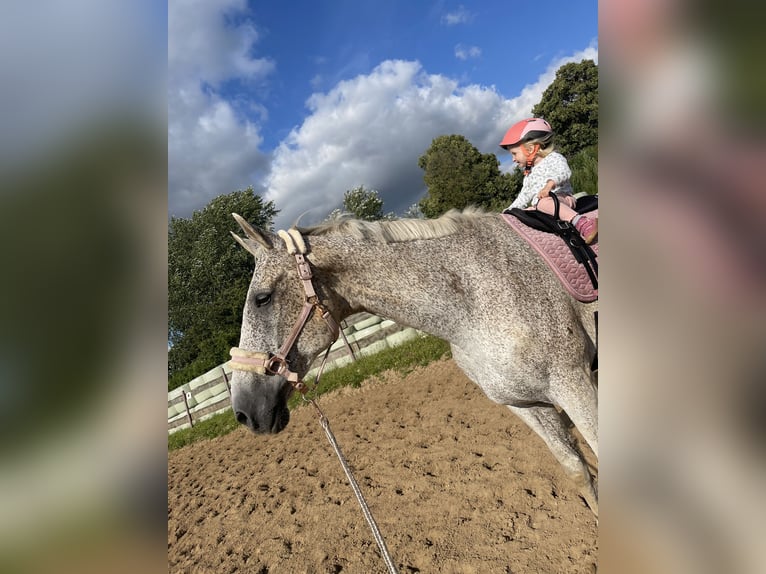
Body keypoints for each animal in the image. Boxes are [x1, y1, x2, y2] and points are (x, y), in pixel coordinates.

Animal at [228, 209, 600, 516]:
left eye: (262, 298)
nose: (245, 412)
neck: (473, 298)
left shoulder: (573, 383)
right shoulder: (525, 404)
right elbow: (577, 469)